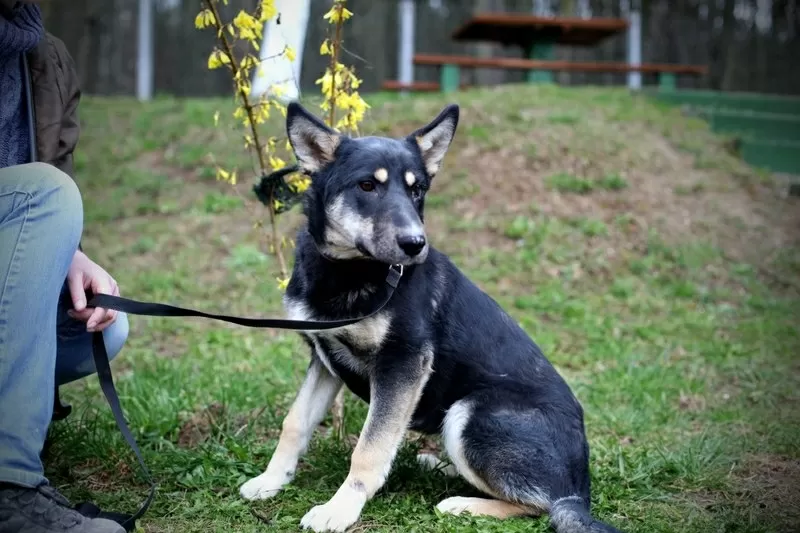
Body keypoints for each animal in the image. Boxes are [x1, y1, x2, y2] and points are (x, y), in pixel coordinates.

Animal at [239, 101, 624, 532]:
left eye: (417, 190)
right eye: (367, 186)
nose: (415, 244)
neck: (350, 271)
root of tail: (579, 492)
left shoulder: (403, 364)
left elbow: (370, 447)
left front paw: (339, 509)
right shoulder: (324, 358)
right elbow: (295, 422)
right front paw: (271, 480)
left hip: (468, 414)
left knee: (539, 505)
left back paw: (464, 504)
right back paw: (437, 466)